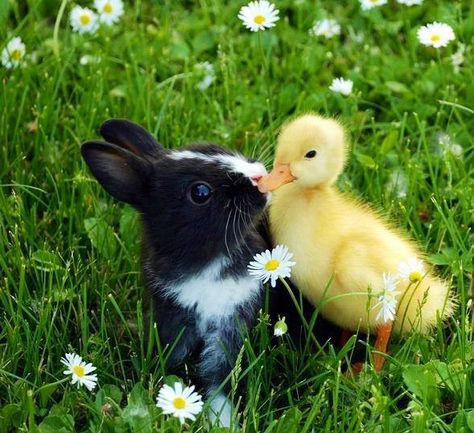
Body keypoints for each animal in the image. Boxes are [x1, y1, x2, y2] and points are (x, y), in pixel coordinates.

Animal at [79, 118, 268, 426]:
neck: (207, 262)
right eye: (200, 192)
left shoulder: (230, 325)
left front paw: (222, 421)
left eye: (216, 148)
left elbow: (219, 378)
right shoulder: (172, 319)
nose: (260, 175)